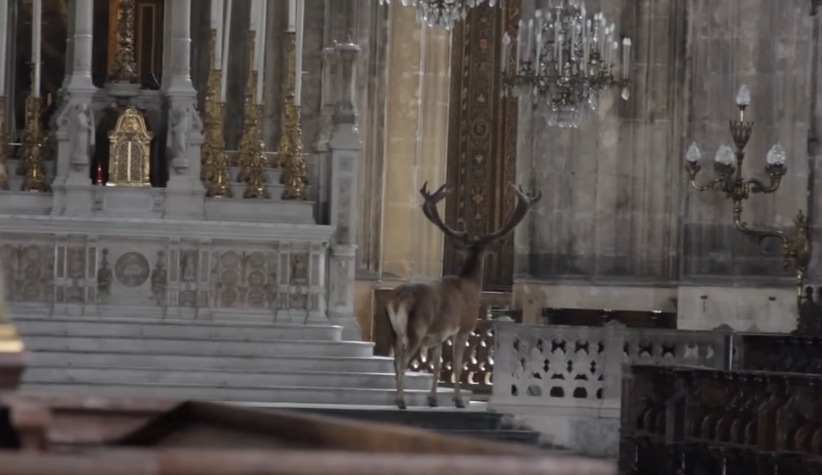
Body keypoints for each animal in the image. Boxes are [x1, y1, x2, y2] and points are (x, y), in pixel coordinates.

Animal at [390, 180, 544, 410]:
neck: (470, 283)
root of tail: (400, 299)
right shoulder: (464, 326)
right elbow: (457, 365)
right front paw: (459, 400)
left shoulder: (439, 333)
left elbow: (437, 364)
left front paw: (433, 399)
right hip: (417, 327)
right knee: (403, 360)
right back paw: (400, 400)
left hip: (396, 330)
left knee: (395, 359)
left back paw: (397, 397)